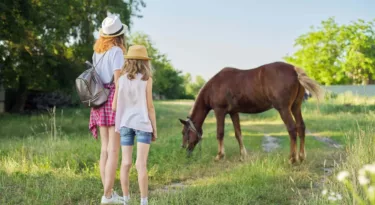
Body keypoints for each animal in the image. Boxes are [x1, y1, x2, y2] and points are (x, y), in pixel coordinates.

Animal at [179, 61, 324, 164]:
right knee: (301, 127)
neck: (215, 86)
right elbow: (238, 134)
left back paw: (292, 159)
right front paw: (243, 156)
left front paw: (219, 156)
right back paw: (301, 157)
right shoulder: (234, 113)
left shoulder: (219, 111)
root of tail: (294, 70)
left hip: (284, 109)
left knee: (292, 129)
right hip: (295, 107)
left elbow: (220, 133)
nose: (184, 149)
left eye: (184, 132)